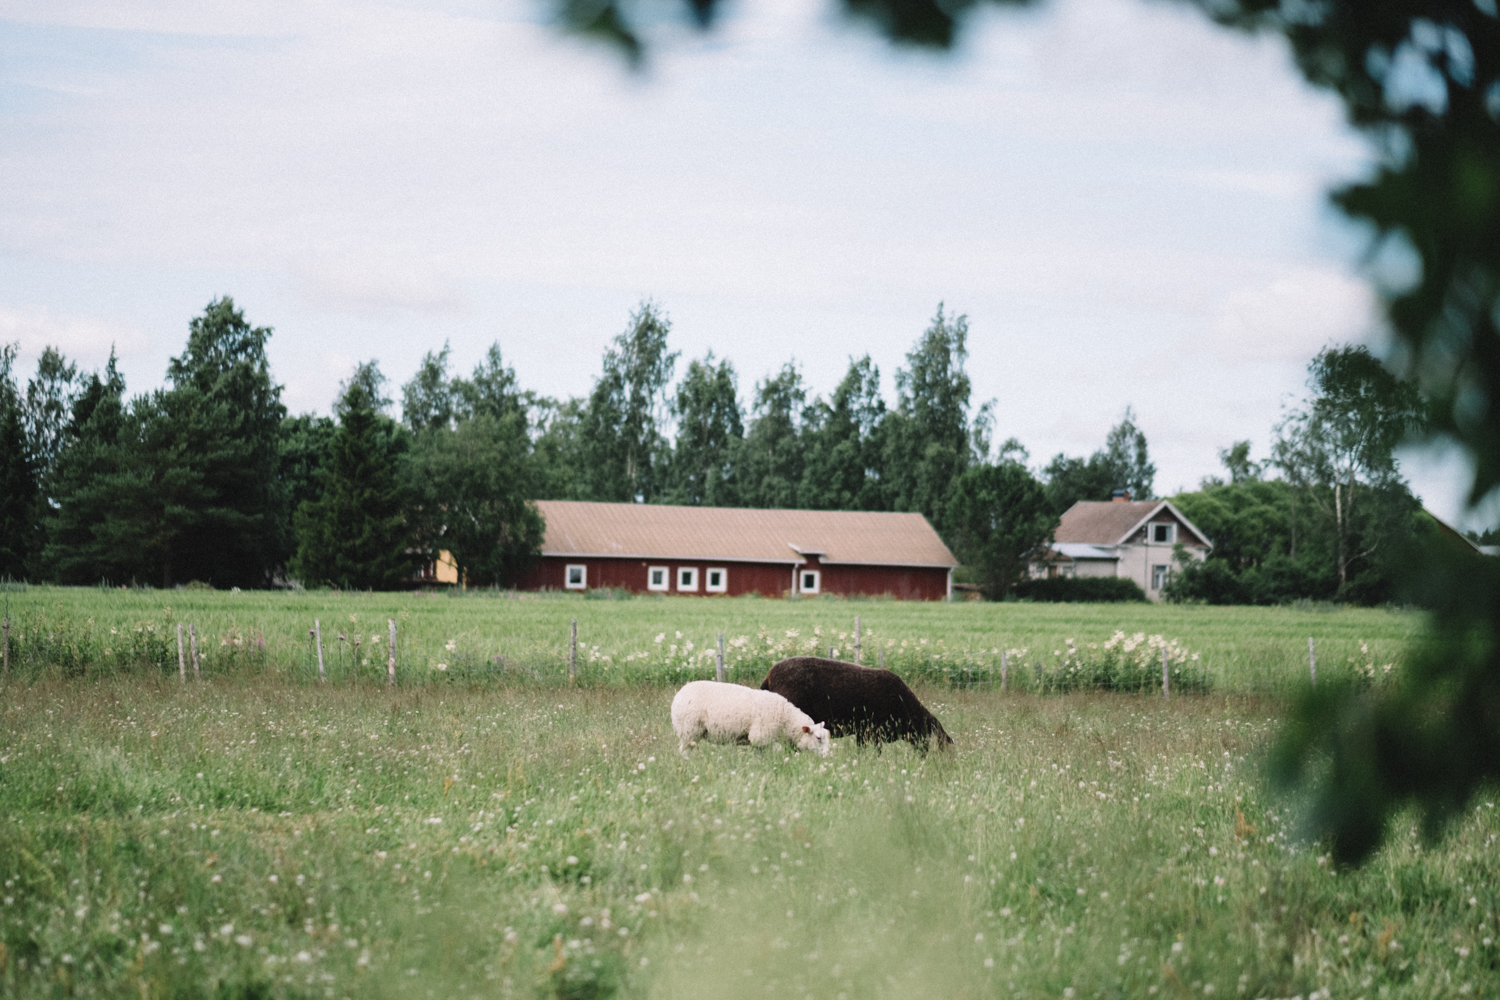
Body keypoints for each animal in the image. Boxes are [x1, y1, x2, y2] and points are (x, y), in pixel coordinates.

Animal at [669, 680, 834, 758]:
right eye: (818, 738)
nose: (827, 757)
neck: (786, 719)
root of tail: (679, 694)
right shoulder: (761, 736)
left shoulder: (759, 741)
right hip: (688, 730)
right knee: (683, 750)